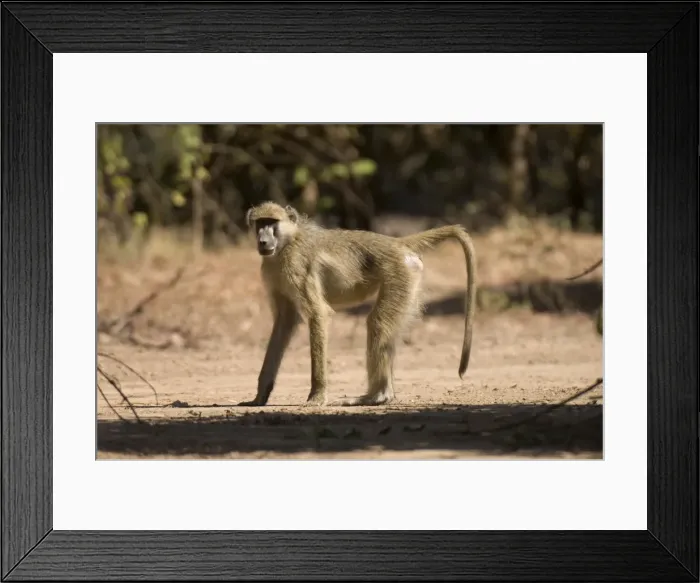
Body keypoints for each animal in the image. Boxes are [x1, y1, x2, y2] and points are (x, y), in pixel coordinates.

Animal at [238, 201, 477, 407]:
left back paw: (377, 396)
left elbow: (318, 314)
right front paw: (259, 397)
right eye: (260, 223)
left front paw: (317, 396)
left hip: (400, 273)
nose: (263, 241)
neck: (287, 243)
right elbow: (284, 324)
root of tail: (397, 243)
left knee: (378, 323)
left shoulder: (295, 265)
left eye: (272, 223)